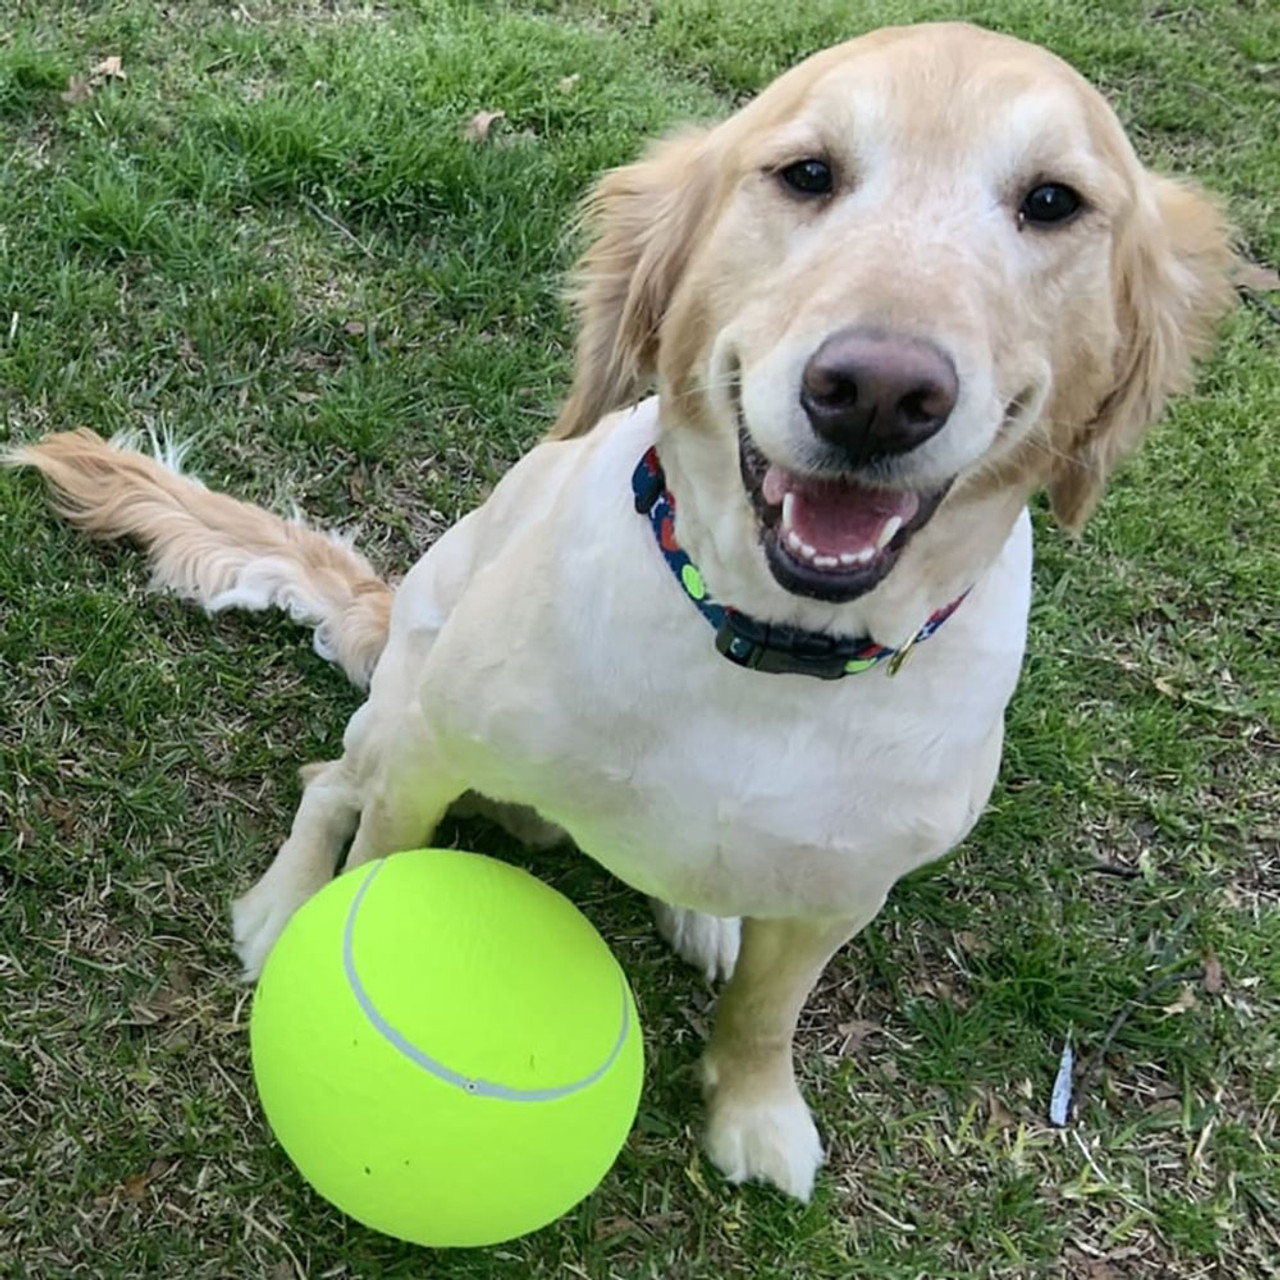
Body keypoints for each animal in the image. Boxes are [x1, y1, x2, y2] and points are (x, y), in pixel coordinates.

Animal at [10, 22, 1228, 1198]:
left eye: (1052, 202)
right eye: (806, 174)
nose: (878, 392)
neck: (763, 648)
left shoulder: (846, 890)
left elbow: (769, 1012)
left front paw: (755, 1111)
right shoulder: (428, 755)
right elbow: (377, 859)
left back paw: (703, 914)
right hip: (401, 692)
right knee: (325, 785)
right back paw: (277, 910)